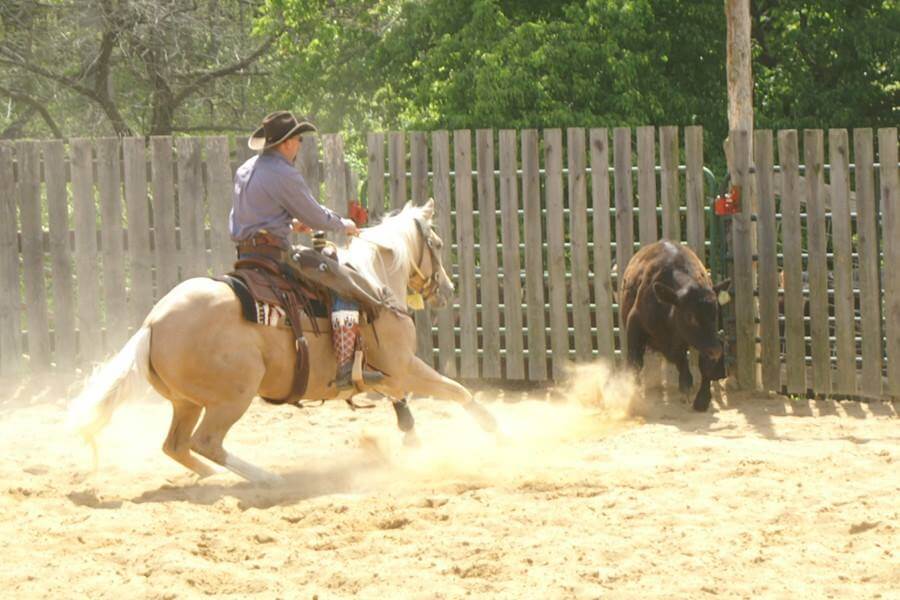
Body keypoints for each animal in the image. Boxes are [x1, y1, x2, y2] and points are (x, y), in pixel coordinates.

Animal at [69, 199, 501, 483]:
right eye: (438, 245)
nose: (447, 290)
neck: (374, 282)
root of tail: (152, 324)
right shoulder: (403, 365)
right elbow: (458, 391)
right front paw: (498, 430)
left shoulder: (390, 373)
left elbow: (404, 403)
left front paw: (412, 440)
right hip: (233, 396)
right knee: (207, 442)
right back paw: (265, 480)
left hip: (186, 402)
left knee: (176, 446)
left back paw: (213, 478)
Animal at [619, 240, 731, 411]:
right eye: (690, 316)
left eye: (715, 313)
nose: (716, 351)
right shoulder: (634, 327)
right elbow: (634, 363)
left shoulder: (703, 341)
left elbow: (703, 365)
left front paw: (702, 400)